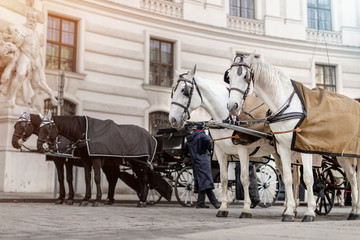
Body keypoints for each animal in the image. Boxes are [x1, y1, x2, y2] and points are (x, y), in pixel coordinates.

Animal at [36, 113, 169, 207]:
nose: (39, 146)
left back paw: (143, 201)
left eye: (47, 129)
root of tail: (150, 135)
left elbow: (97, 178)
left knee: (145, 179)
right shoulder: (85, 160)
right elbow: (87, 179)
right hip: (135, 162)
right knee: (139, 179)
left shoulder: (96, 160)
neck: (84, 133)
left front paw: (97, 199)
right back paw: (141, 200)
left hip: (143, 162)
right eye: (39, 128)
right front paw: (85, 199)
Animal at [170, 65, 280, 218]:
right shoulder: (221, 151)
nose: (173, 119)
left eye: (183, 91)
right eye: (172, 92)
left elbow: (244, 178)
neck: (228, 119)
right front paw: (223, 207)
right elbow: (224, 179)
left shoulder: (242, 150)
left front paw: (246, 209)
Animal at [226, 53, 358, 222]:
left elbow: (308, 178)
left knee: (353, 178)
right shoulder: (283, 148)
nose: (232, 106)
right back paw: (354, 210)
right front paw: (289, 211)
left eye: (244, 76)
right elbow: (288, 178)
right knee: (352, 177)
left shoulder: (305, 147)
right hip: (342, 154)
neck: (287, 106)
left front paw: (309, 212)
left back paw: (354, 210)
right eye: (229, 77)